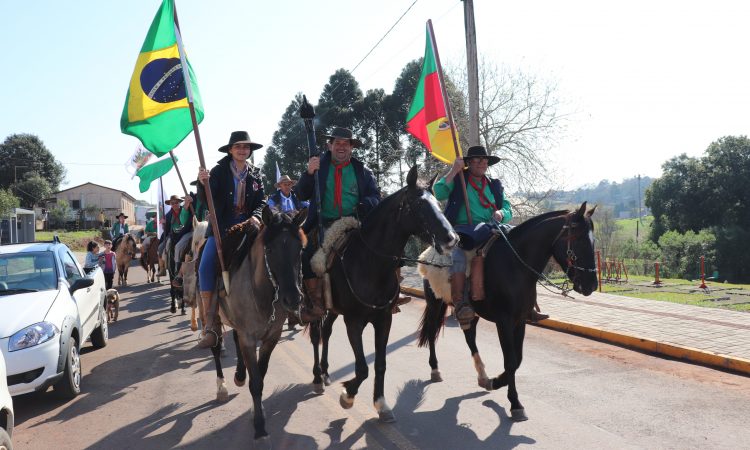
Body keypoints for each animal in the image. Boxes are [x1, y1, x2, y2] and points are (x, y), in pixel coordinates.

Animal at [306, 165, 458, 422]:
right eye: (419, 205)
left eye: (438, 202)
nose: (451, 239)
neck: (369, 262)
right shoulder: (354, 321)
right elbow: (361, 368)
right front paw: (348, 395)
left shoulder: (383, 319)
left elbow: (379, 364)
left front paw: (381, 403)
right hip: (316, 307)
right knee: (317, 335)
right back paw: (317, 377)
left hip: (334, 309)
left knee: (326, 331)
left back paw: (326, 373)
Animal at [418, 204, 600, 422]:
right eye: (579, 239)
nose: (591, 285)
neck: (515, 265)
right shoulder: (503, 321)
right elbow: (511, 361)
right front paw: (515, 404)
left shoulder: (520, 320)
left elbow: (517, 359)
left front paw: (495, 381)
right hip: (435, 302)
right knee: (431, 332)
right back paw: (435, 370)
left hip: (472, 312)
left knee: (469, 337)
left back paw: (483, 376)